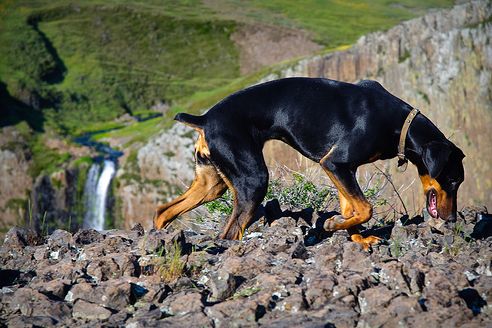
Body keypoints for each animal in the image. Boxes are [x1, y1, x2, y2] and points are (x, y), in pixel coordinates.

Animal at [155, 78, 466, 249]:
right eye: (453, 180)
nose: (452, 220)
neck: (400, 124)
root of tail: (205, 118)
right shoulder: (336, 163)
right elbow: (365, 208)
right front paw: (332, 225)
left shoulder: (341, 169)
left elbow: (352, 207)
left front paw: (357, 239)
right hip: (253, 180)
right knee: (229, 233)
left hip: (212, 183)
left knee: (163, 210)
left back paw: (160, 242)